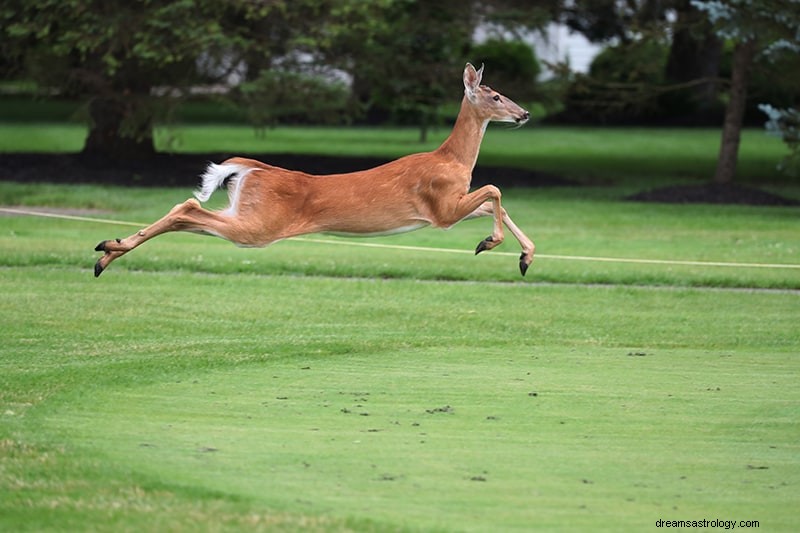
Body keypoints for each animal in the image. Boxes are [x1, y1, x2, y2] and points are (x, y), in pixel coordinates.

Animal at [94, 62, 536, 276]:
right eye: (496, 95)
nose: (525, 113)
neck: (452, 158)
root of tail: (254, 168)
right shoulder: (441, 208)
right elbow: (494, 189)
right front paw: (490, 244)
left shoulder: (451, 206)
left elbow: (495, 201)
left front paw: (523, 256)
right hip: (259, 225)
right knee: (187, 206)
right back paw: (106, 252)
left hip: (245, 212)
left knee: (187, 211)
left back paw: (108, 252)